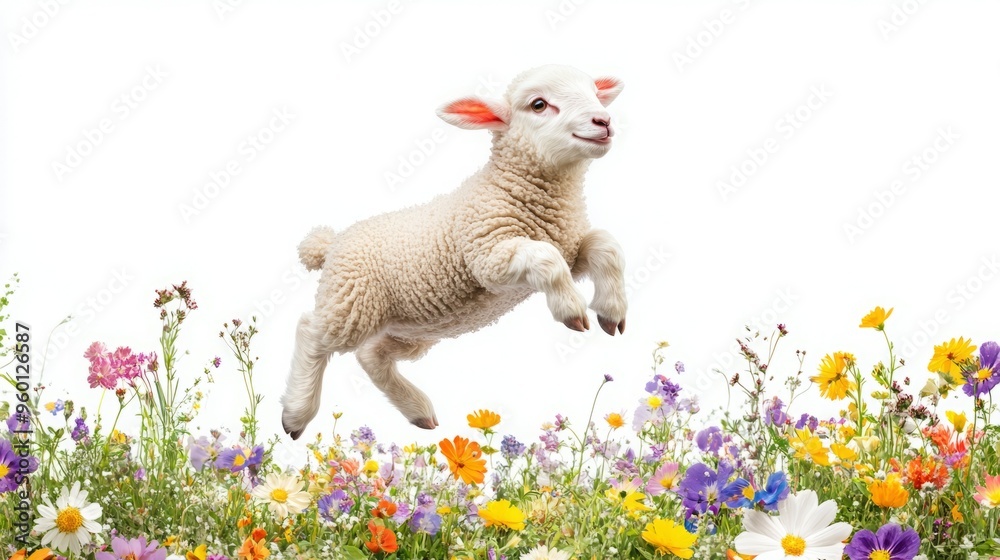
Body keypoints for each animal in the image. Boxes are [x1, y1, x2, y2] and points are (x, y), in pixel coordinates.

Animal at [281, 64, 628, 440]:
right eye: (539, 104)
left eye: (594, 93)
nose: (604, 121)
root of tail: (332, 243)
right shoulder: (488, 256)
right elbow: (546, 260)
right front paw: (571, 310)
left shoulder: (570, 247)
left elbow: (607, 247)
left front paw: (611, 311)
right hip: (352, 301)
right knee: (311, 333)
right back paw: (296, 414)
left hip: (409, 328)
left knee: (371, 356)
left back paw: (418, 411)